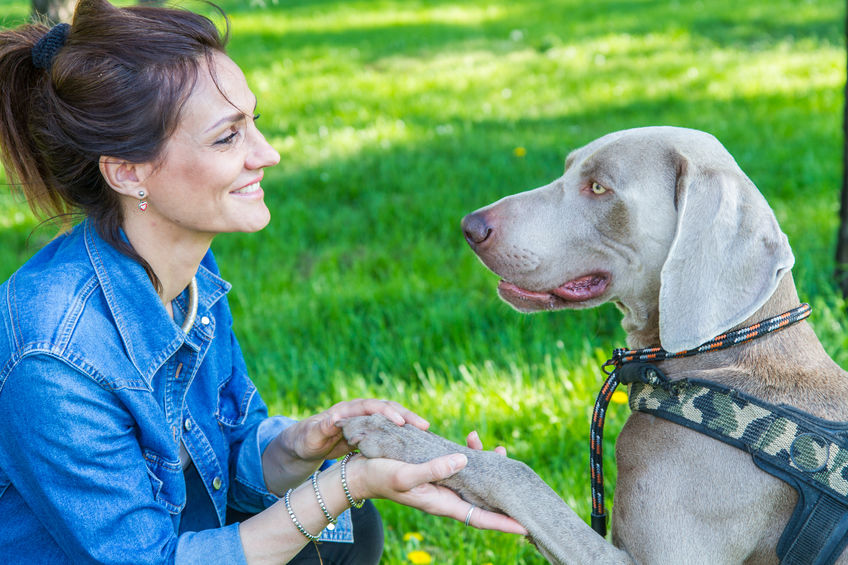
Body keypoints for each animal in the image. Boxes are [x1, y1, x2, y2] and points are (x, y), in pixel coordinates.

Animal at [338, 128, 848, 564]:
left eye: (600, 188)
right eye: (567, 168)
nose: (470, 226)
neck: (720, 359)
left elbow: (521, 477)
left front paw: (393, 435)